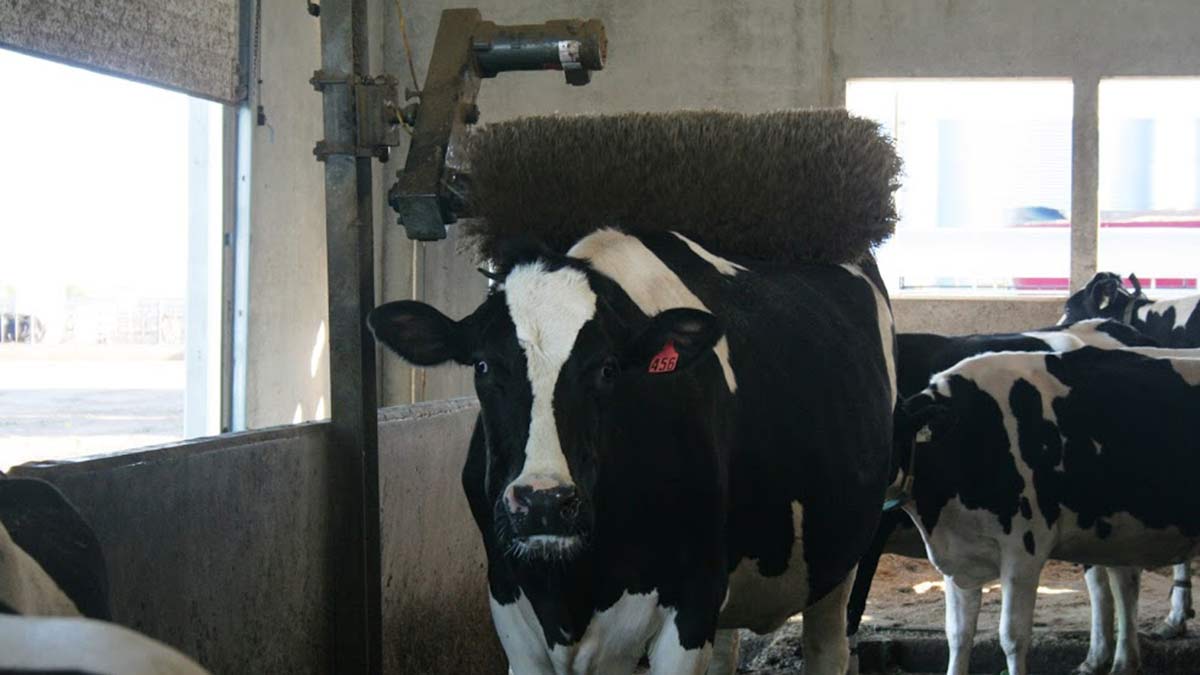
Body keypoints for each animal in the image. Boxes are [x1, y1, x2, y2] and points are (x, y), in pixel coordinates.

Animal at [369, 229, 896, 674]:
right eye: (482, 366)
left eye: (606, 368)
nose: (543, 502)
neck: (575, 587)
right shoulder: (510, 605)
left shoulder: (692, 602)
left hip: (837, 559)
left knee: (827, 644)